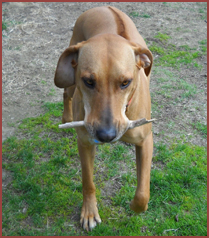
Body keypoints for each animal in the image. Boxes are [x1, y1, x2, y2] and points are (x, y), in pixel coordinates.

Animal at [54, 6, 153, 231]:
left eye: (126, 82)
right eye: (89, 81)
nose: (106, 135)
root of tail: (102, 7)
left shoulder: (145, 140)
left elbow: (143, 193)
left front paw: (134, 205)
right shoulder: (85, 142)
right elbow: (88, 182)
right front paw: (89, 212)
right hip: (68, 76)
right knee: (65, 93)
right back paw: (66, 117)